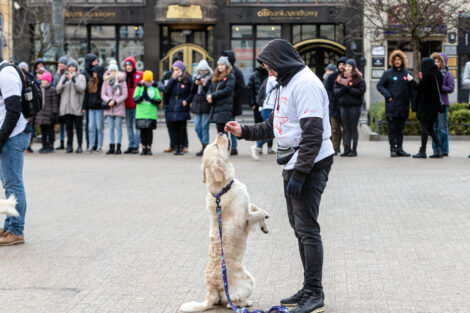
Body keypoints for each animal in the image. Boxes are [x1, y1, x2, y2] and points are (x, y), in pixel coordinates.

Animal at [181, 133, 272, 310]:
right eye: (216, 146)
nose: (221, 133)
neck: (221, 190)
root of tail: (212, 291)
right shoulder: (245, 218)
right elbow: (257, 214)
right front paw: (264, 223)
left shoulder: (247, 204)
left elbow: (257, 207)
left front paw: (266, 218)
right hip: (250, 280)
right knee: (229, 303)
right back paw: (245, 303)